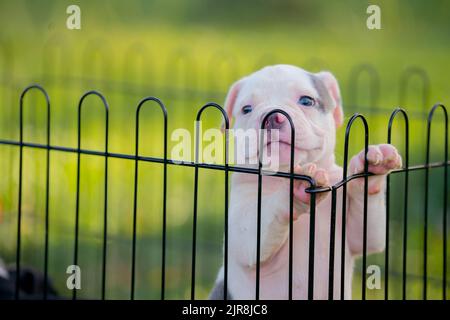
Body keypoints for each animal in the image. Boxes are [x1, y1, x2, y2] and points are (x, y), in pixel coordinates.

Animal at [209, 63, 402, 298]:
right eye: (246, 109)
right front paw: (295, 191)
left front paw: (373, 166)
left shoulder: (359, 235)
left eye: (306, 101)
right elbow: (256, 225)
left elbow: (368, 235)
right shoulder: (243, 232)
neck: (282, 174)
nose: (273, 118)